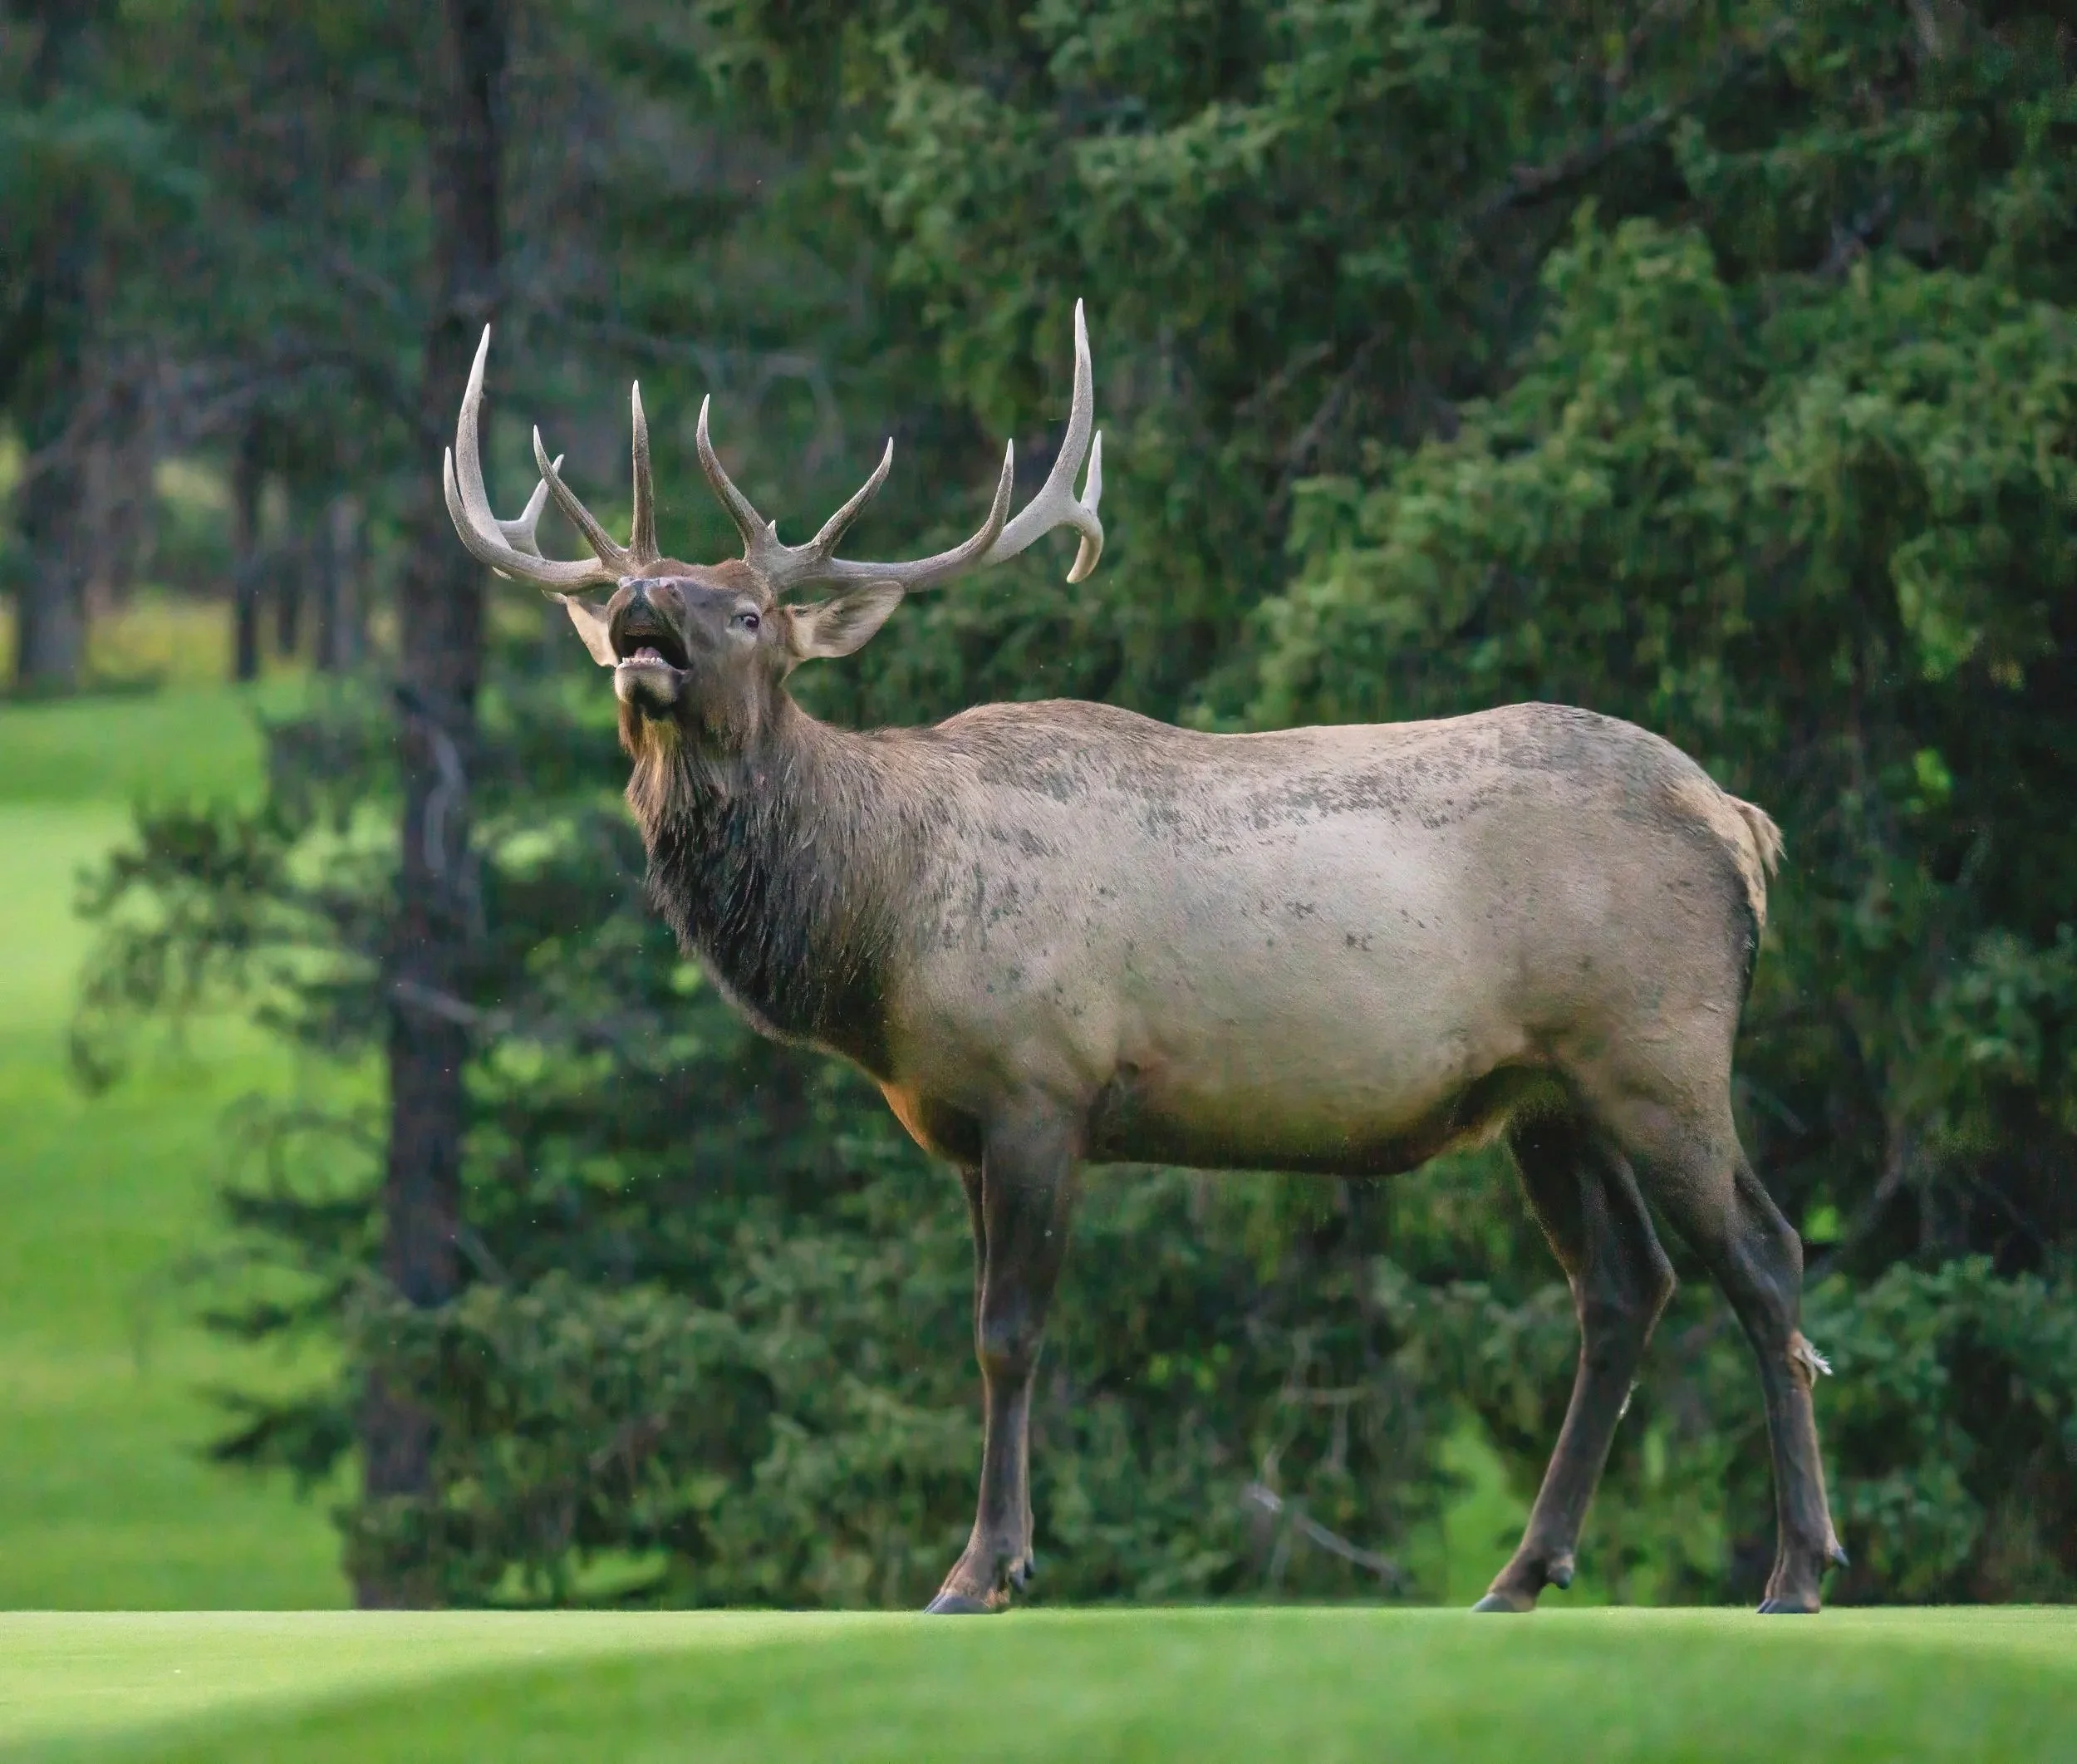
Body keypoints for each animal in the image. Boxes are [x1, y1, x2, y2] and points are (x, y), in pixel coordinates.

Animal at [443, 304, 1845, 1615]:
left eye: (748, 607)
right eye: (648, 587)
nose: (638, 604)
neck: (881, 922)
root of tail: (1742, 821)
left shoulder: (1040, 1086)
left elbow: (1009, 1336)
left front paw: (984, 1568)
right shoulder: (966, 1126)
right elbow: (991, 1335)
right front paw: (997, 1559)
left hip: (1657, 1047)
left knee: (1763, 1257)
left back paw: (1798, 1567)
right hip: (1545, 1096)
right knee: (1624, 1287)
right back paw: (1522, 1570)